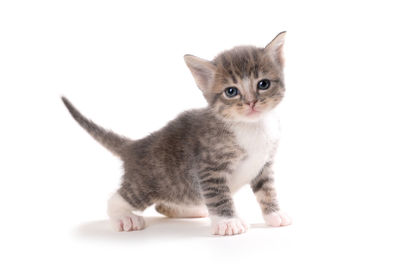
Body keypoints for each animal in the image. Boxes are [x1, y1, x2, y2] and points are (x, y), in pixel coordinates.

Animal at [61, 31, 290, 237]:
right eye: (231, 91)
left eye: (263, 84)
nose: (251, 102)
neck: (252, 126)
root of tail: (135, 145)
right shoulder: (209, 167)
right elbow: (218, 195)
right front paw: (228, 222)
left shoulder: (264, 164)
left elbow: (267, 190)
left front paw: (274, 215)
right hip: (148, 183)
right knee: (118, 198)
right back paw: (124, 217)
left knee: (166, 204)